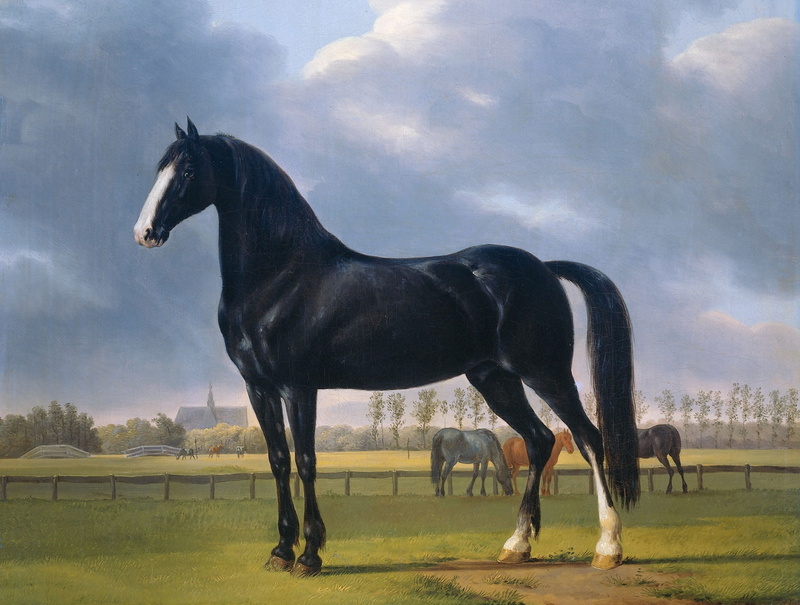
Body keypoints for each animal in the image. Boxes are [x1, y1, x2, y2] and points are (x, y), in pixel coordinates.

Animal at [134, 119, 639, 575]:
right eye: (160, 167)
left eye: (187, 171)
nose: (145, 232)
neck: (283, 277)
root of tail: (545, 268)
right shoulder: (258, 388)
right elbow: (278, 462)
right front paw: (280, 552)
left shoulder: (299, 387)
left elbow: (306, 461)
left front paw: (310, 556)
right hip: (495, 379)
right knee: (539, 440)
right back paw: (517, 545)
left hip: (546, 372)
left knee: (588, 438)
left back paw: (608, 548)